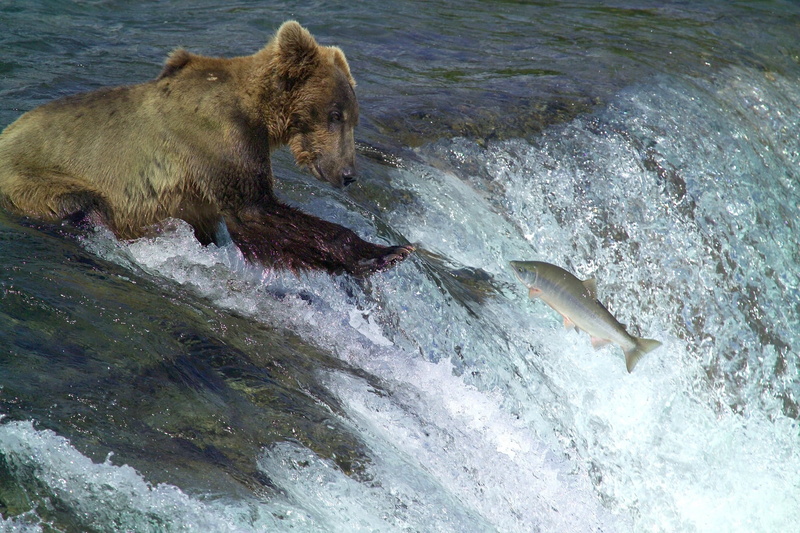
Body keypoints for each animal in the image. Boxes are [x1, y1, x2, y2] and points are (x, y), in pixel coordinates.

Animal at [0, 21, 412, 276]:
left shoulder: (202, 189)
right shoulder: (218, 142)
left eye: (353, 118)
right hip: (34, 179)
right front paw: (386, 252)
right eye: (334, 114)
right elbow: (256, 211)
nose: (348, 174)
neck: (258, 115)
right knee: (83, 204)